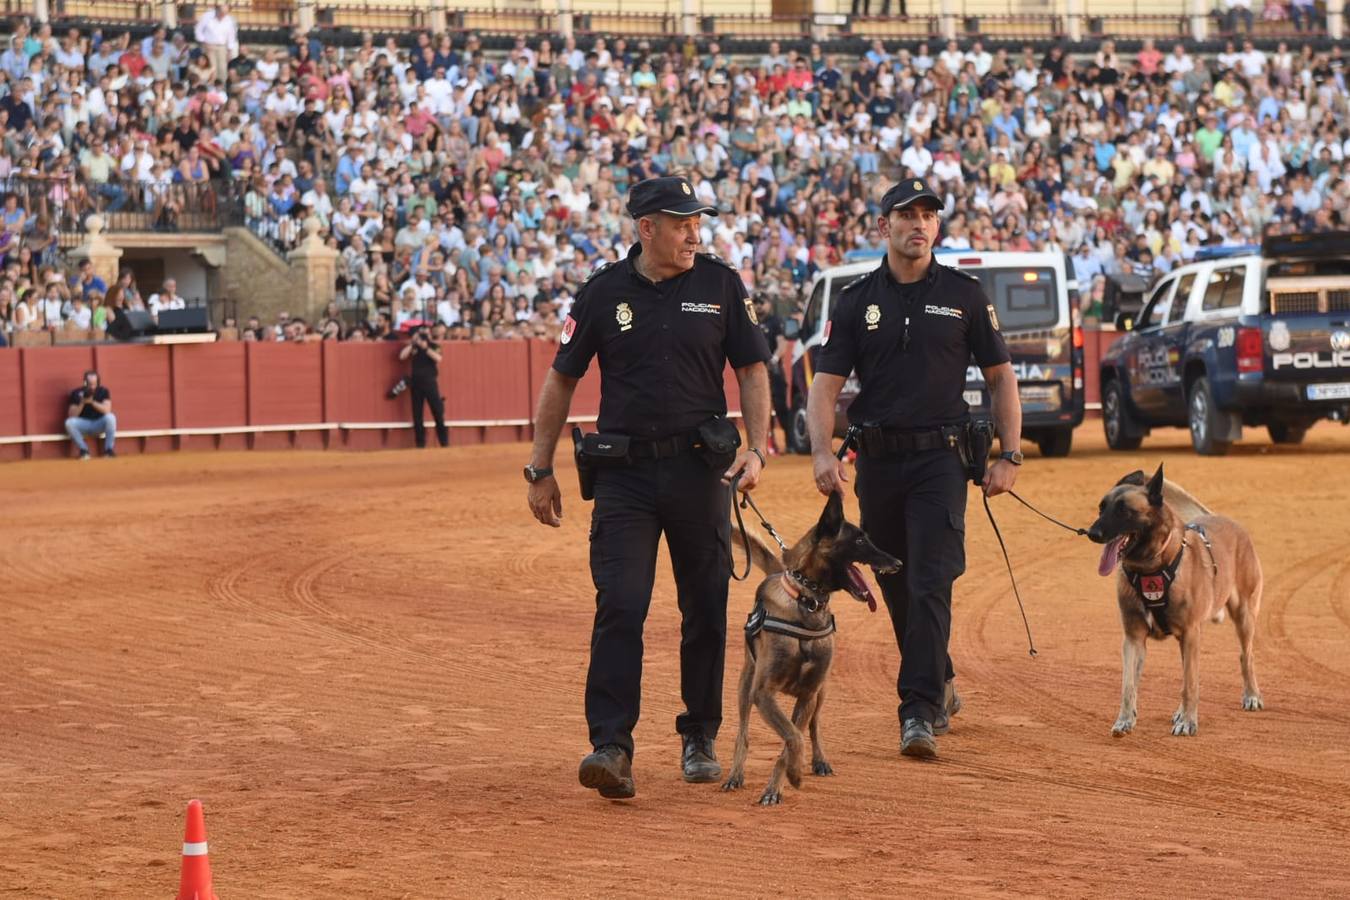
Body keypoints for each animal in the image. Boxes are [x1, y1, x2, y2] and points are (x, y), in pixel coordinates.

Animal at [723, 493, 901, 809]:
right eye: (859, 540)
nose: (898, 562)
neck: (807, 602)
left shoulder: (808, 694)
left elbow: (794, 739)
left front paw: (782, 782)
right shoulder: (763, 693)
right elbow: (793, 738)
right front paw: (793, 774)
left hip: (821, 692)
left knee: (815, 727)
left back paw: (820, 761)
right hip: (746, 686)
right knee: (743, 733)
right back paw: (735, 774)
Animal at [1085, 464, 1263, 739]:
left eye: (1124, 511)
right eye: (1101, 508)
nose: (1093, 533)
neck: (1151, 568)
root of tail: (1221, 517)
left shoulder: (1190, 634)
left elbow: (1189, 684)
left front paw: (1188, 722)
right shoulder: (1133, 639)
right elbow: (1128, 685)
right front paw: (1124, 720)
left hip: (1243, 616)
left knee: (1246, 656)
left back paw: (1251, 695)